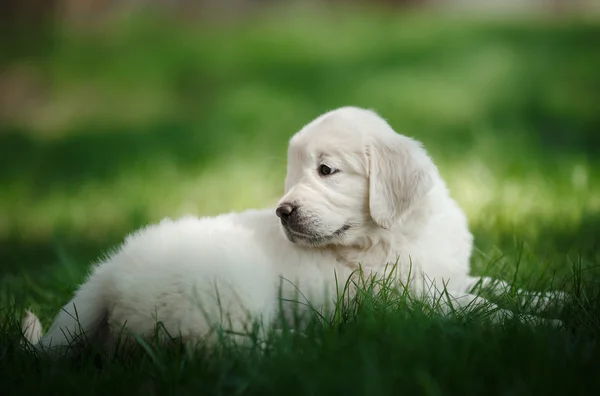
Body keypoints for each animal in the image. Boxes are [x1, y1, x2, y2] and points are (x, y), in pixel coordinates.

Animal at [19, 106, 564, 354]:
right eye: (292, 174)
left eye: (325, 170)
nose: (282, 211)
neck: (396, 234)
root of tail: (107, 277)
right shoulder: (407, 297)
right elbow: (481, 307)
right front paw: (539, 325)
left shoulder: (442, 276)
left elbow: (493, 285)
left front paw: (552, 299)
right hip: (229, 295)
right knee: (228, 348)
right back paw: (307, 345)